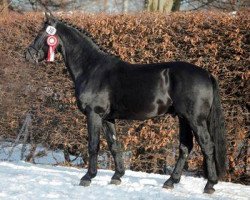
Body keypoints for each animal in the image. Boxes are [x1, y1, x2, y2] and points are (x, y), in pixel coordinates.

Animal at [25, 12, 227, 194]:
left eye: (42, 34)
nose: (28, 55)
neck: (91, 68)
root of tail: (206, 74)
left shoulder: (93, 114)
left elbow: (93, 145)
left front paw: (88, 177)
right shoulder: (107, 118)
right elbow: (114, 145)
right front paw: (117, 176)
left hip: (195, 120)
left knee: (207, 146)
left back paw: (209, 185)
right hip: (183, 118)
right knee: (185, 147)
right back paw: (171, 182)